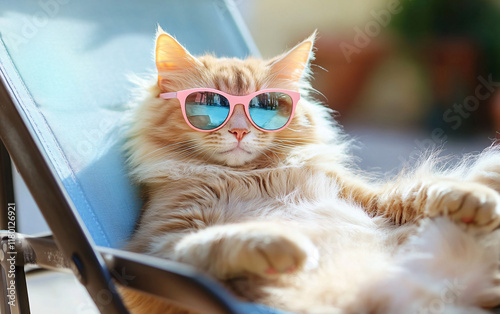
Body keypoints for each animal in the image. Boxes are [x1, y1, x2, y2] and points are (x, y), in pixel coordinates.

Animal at [123, 27, 500, 314]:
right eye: (209, 103)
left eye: (267, 106)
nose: (240, 131)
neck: (252, 176)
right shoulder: (156, 244)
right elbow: (214, 242)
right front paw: (277, 242)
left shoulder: (367, 197)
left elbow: (419, 189)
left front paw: (471, 198)